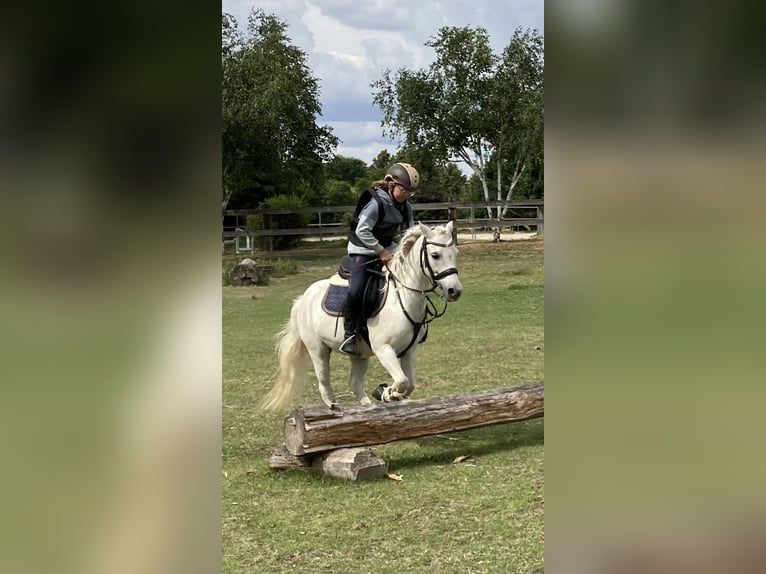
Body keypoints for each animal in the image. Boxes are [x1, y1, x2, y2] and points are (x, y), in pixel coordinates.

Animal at [260, 221, 462, 411]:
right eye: (435, 255)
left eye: (455, 253)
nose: (454, 291)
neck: (402, 297)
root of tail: (302, 299)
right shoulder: (383, 349)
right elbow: (402, 380)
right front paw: (386, 393)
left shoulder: (409, 350)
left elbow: (409, 383)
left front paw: (389, 394)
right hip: (317, 349)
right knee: (324, 383)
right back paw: (334, 407)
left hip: (359, 355)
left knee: (355, 383)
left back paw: (368, 407)